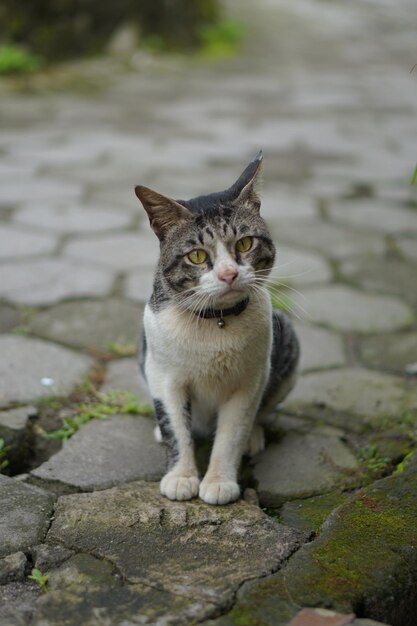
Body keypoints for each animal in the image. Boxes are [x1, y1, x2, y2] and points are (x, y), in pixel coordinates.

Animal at [135, 150, 298, 502]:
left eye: (245, 243)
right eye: (196, 256)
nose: (229, 274)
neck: (216, 321)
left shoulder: (249, 382)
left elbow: (230, 435)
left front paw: (220, 482)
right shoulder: (164, 376)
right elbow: (176, 428)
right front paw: (180, 477)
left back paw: (255, 436)